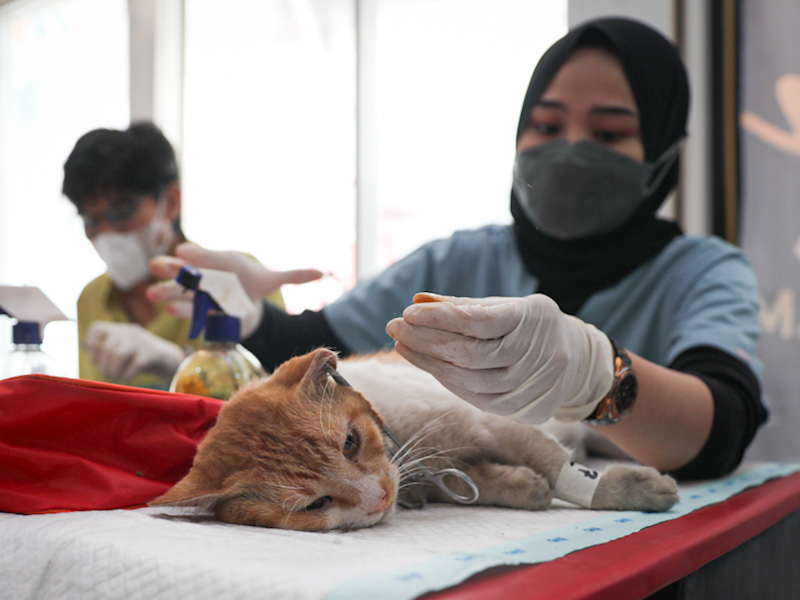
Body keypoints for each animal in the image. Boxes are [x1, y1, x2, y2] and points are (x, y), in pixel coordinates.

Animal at [153, 350, 680, 532]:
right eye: (315, 504)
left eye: (349, 443)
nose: (380, 497)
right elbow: (477, 481)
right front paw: (520, 486)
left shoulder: (490, 421)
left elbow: (555, 464)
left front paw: (622, 490)